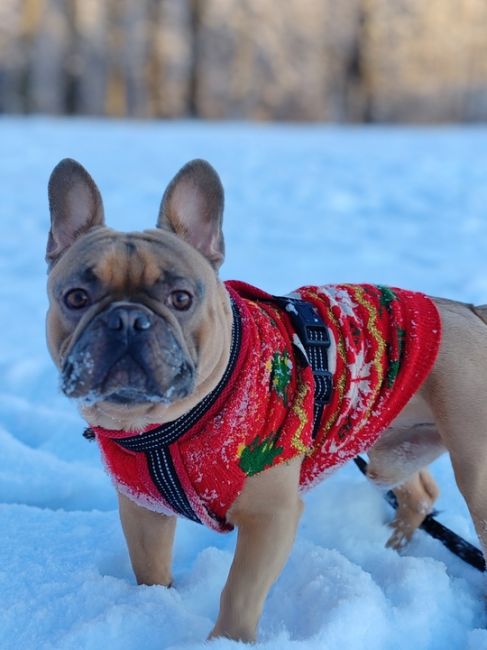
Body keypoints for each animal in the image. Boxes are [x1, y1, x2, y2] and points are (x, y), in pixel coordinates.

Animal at [44, 158, 487, 644]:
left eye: (181, 298)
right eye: (75, 297)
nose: (127, 319)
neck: (167, 427)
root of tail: (471, 311)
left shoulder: (270, 518)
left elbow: (240, 591)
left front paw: (228, 642)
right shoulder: (144, 511)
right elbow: (151, 571)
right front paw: (152, 608)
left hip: (473, 469)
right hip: (389, 448)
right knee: (421, 492)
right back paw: (393, 545)